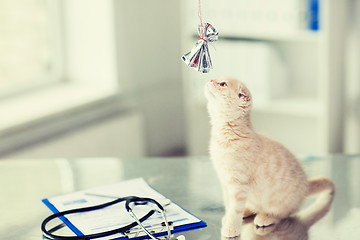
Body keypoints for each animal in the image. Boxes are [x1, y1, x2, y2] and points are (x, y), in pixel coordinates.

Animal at [205, 77, 334, 238]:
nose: (210, 79)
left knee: (283, 213)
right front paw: (228, 218)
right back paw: (247, 211)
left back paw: (266, 217)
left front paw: (231, 227)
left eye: (223, 84)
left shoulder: (238, 185)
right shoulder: (225, 183)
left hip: (280, 203)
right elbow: (229, 206)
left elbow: (235, 209)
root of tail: (306, 185)